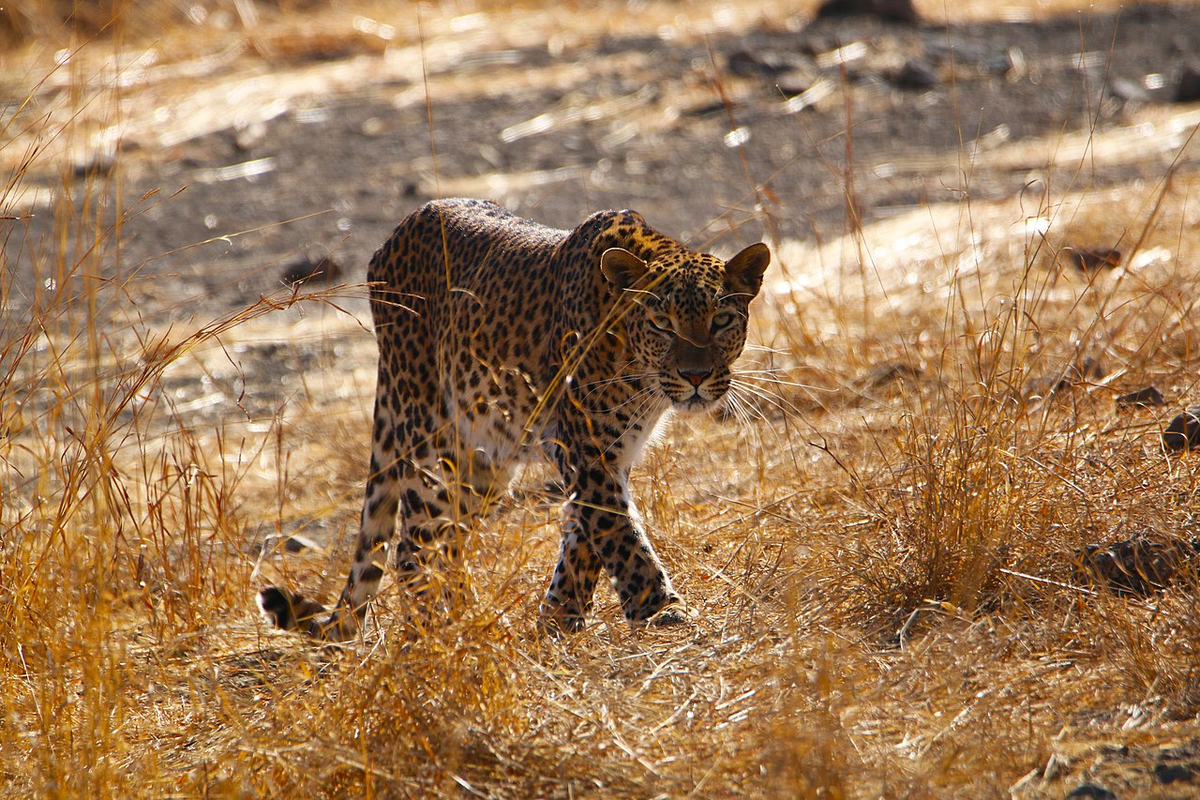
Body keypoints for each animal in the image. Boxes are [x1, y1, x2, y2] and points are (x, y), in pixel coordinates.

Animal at [258, 196, 772, 642]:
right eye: (662, 324)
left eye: (722, 321)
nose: (696, 376)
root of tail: (395, 234)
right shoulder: (585, 450)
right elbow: (617, 530)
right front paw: (661, 612)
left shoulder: (608, 454)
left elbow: (584, 534)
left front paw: (559, 619)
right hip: (429, 436)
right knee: (413, 549)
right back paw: (440, 634)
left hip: (482, 462)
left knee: (445, 544)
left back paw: (466, 618)